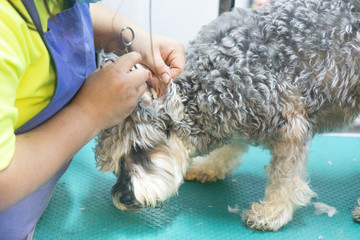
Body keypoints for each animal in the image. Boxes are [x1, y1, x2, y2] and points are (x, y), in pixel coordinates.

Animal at [95, 0, 360, 231]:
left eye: (138, 149)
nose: (123, 197)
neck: (210, 84)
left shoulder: (290, 126)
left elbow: (284, 176)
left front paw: (273, 211)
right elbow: (231, 147)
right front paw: (209, 166)